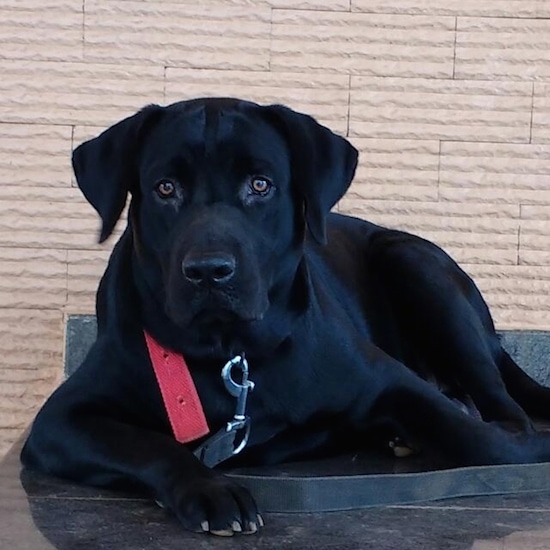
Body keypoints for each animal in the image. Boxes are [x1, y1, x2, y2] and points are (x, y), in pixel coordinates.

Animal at [22, 99, 550, 540]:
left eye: (260, 185)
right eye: (165, 188)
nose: (209, 270)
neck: (232, 355)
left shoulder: (386, 378)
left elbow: (484, 444)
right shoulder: (60, 420)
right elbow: (148, 444)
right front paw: (209, 489)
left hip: (417, 266)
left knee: (505, 408)